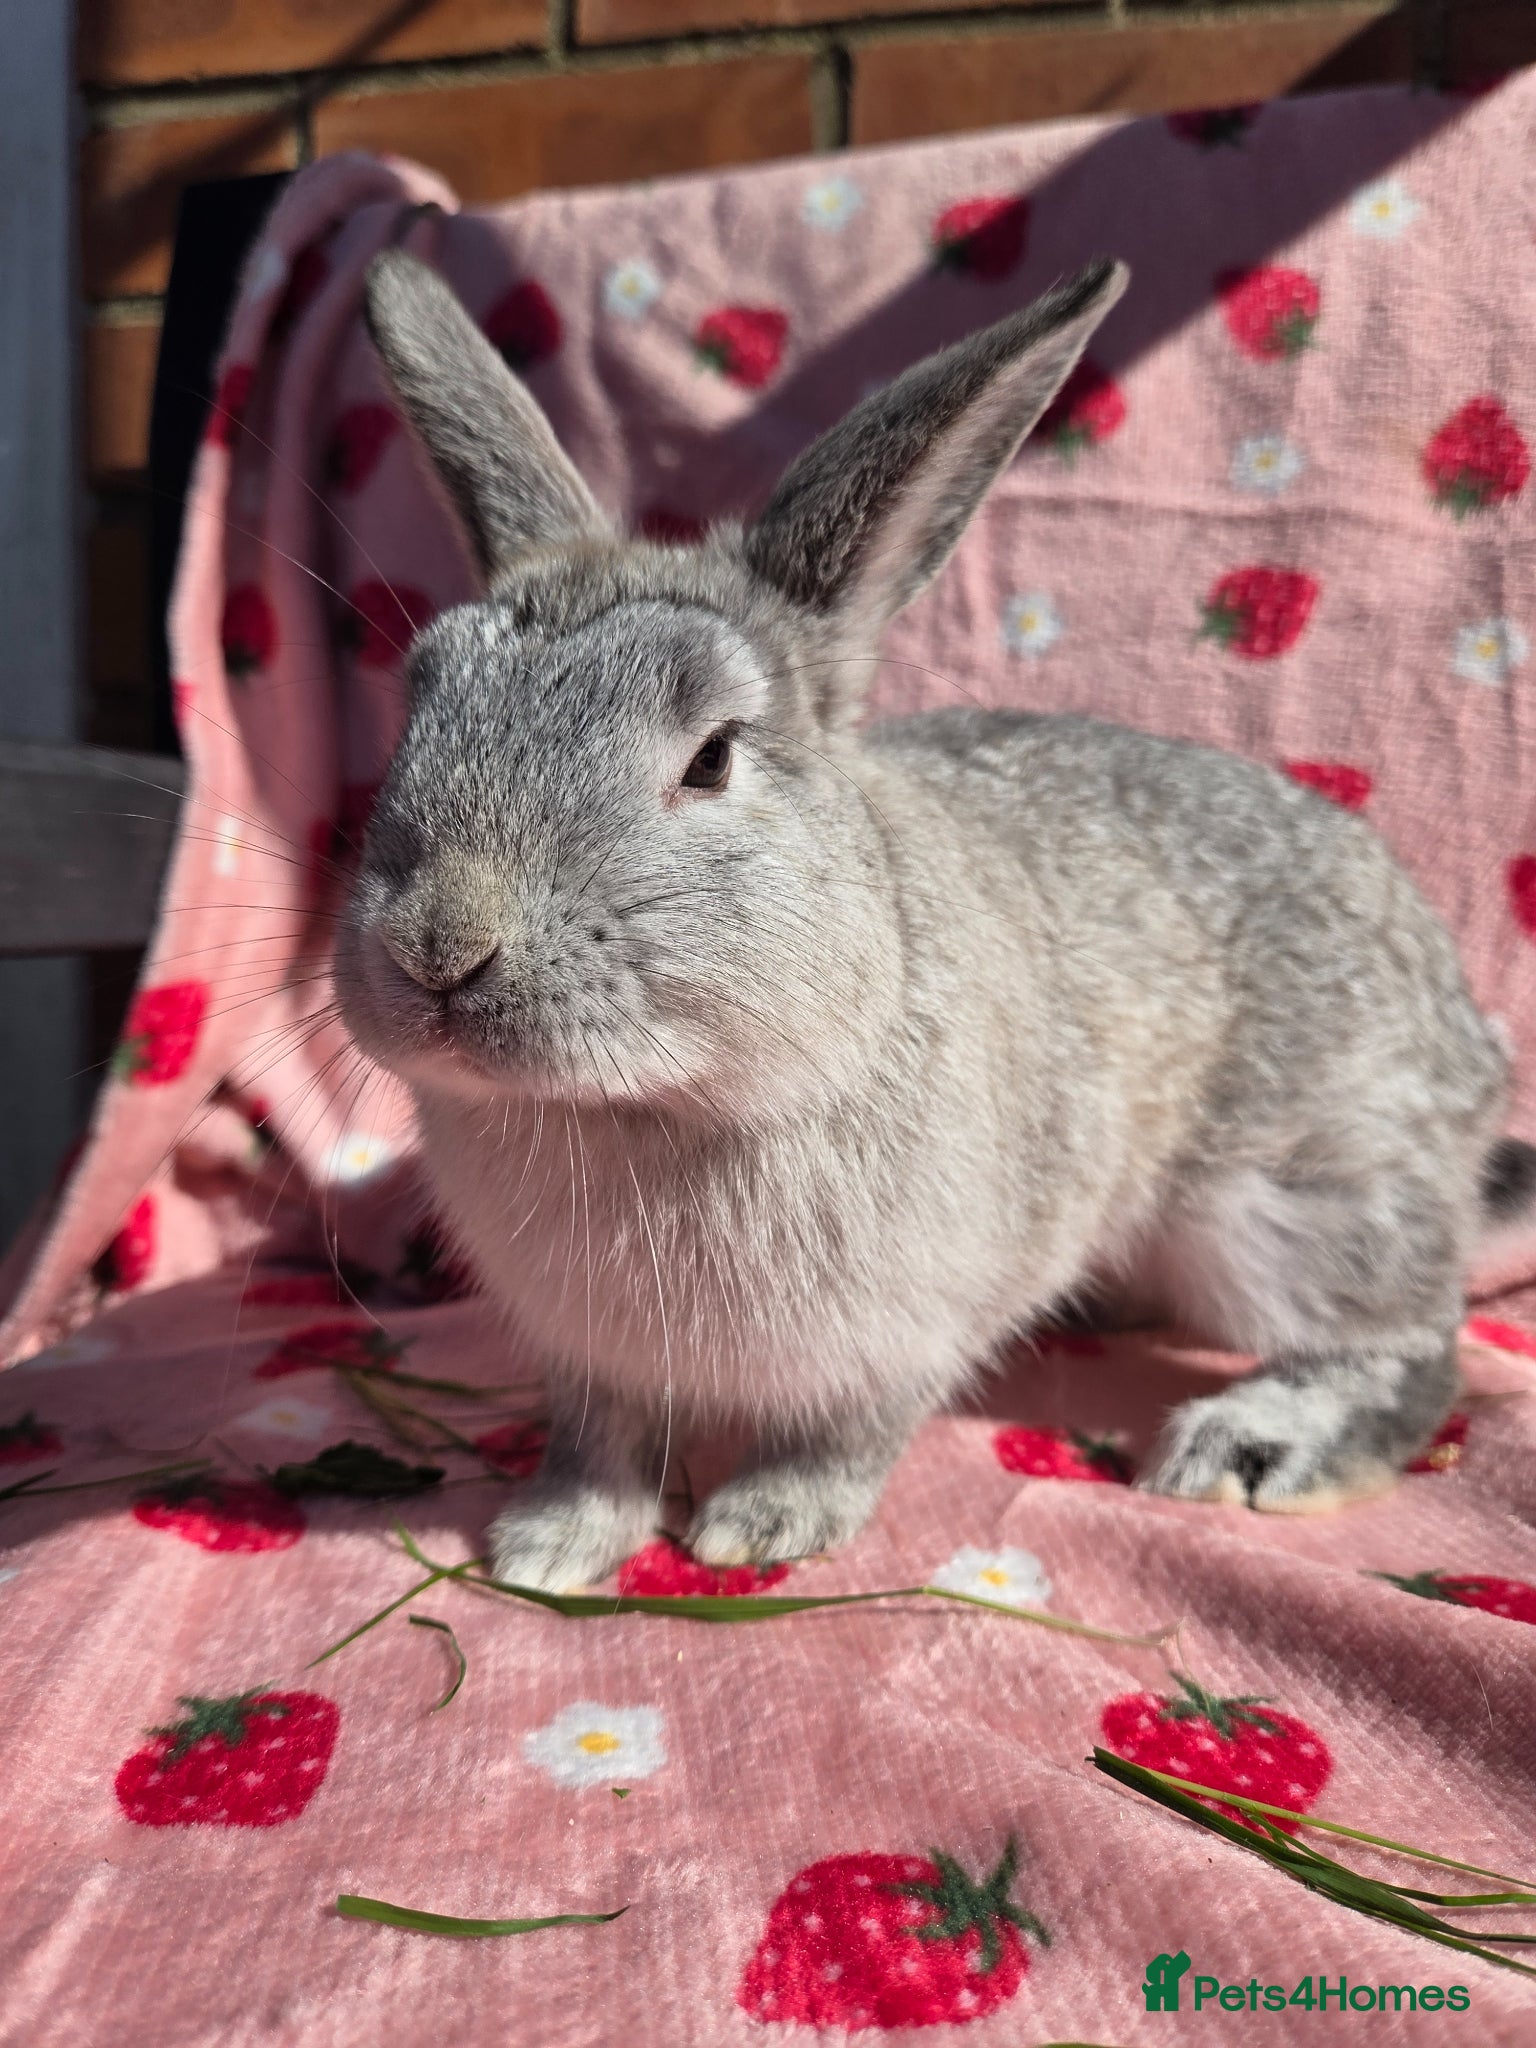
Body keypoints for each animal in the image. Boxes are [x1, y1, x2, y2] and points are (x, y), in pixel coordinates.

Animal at [335, 245, 1535, 1594]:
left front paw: (762, 1525)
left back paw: (1252, 1444)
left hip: (1294, 1196)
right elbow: (601, 1446)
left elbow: (849, 1433)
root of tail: (1471, 1046)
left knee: (1411, 1342)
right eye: (420, 706)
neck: (653, 1103)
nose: (438, 943)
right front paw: (550, 1546)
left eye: (712, 758)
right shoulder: (589, 1361)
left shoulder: (907, 1332)